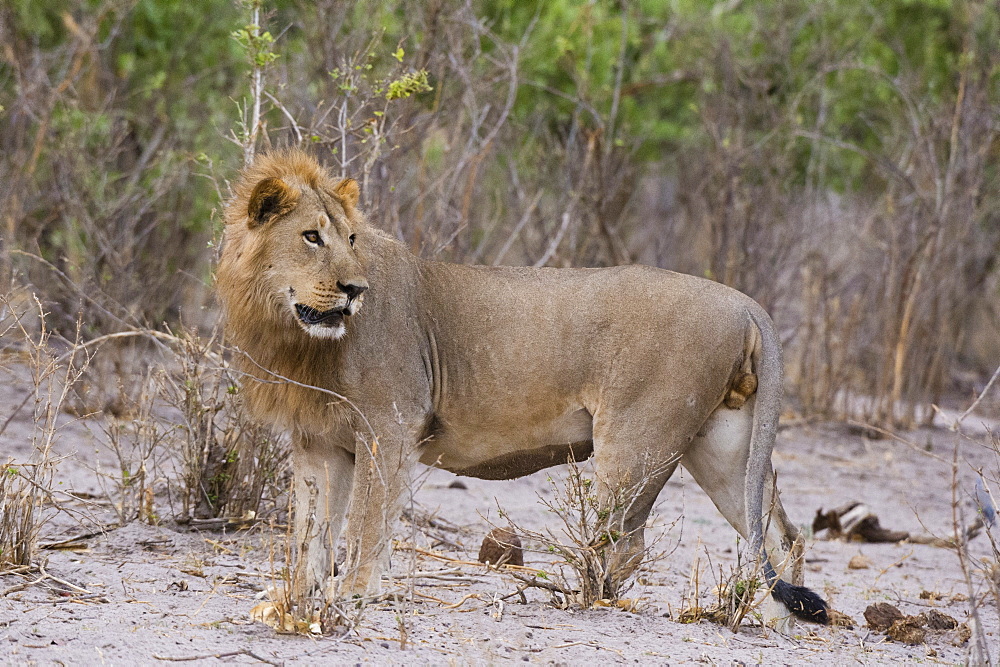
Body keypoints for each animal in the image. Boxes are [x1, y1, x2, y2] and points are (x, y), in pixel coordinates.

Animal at [217, 149, 828, 628]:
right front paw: (295, 600)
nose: (354, 289)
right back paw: (770, 620)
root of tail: (745, 302)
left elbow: (366, 524)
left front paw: (354, 594)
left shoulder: (388, 429)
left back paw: (584, 600)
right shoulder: (319, 444)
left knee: (625, 543)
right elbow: (309, 532)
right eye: (311, 237)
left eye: (349, 238)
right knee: (778, 535)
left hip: (636, 441)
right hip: (724, 445)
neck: (291, 333)